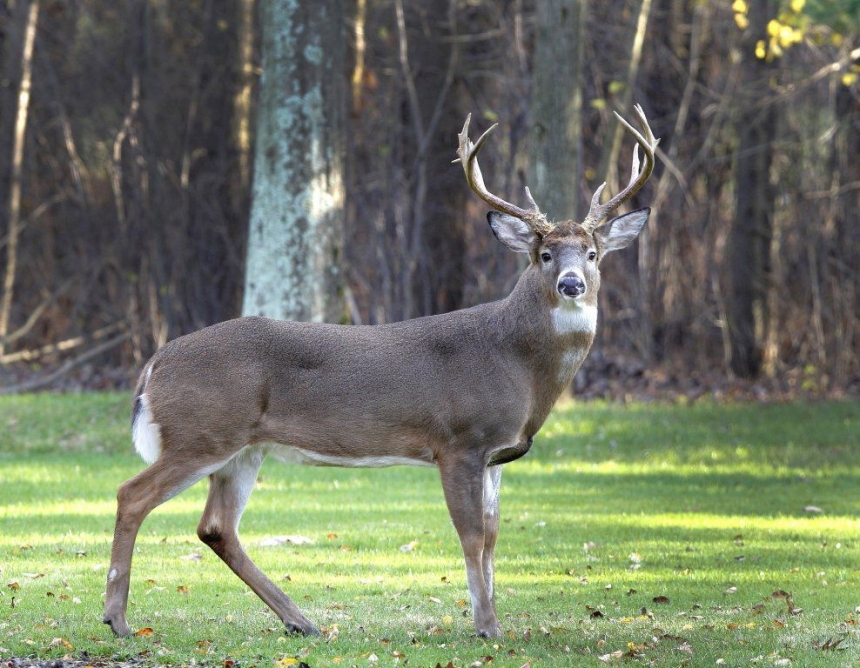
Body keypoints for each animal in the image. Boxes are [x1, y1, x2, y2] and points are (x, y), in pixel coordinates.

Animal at [106, 103, 660, 636]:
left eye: (593, 254)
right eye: (544, 254)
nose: (571, 284)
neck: (518, 365)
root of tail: (154, 364)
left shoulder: (497, 455)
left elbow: (493, 538)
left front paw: (495, 620)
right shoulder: (458, 441)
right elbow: (472, 536)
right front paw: (486, 628)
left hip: (243, 448)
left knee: (216, 527)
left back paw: (300, 621)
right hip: (203, 432)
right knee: (132, 494)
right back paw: (118, 619)